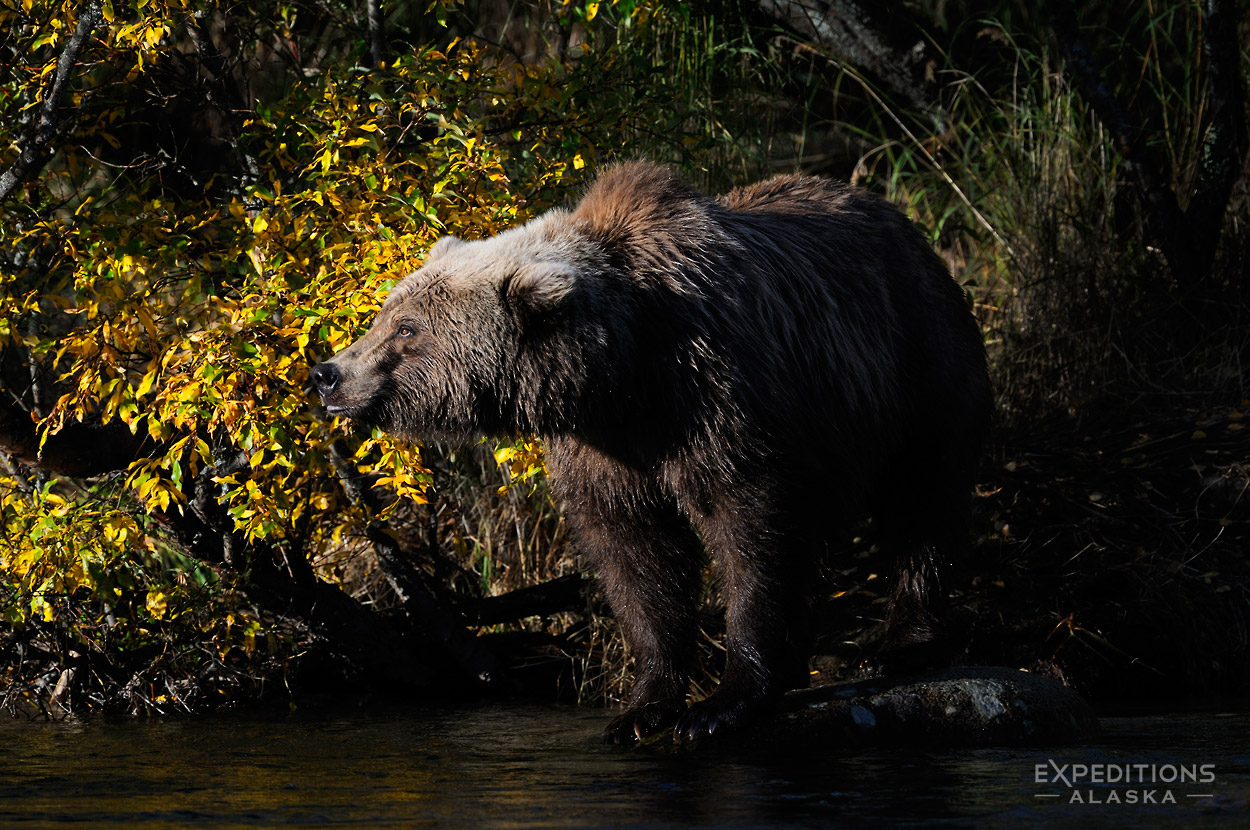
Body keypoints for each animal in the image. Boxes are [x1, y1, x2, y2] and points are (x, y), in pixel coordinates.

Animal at [310, 158, 985, 740]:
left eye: (406, 328)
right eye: (386, 311)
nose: (328, 373)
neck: (623, 374)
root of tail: (901, 222)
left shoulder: (717, 403)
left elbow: (748, 532)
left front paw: (721, 704)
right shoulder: (603, 450)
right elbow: (635, 556)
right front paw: (642, 708)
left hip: (913, 362)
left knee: (923, 497)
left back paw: (902, 643)